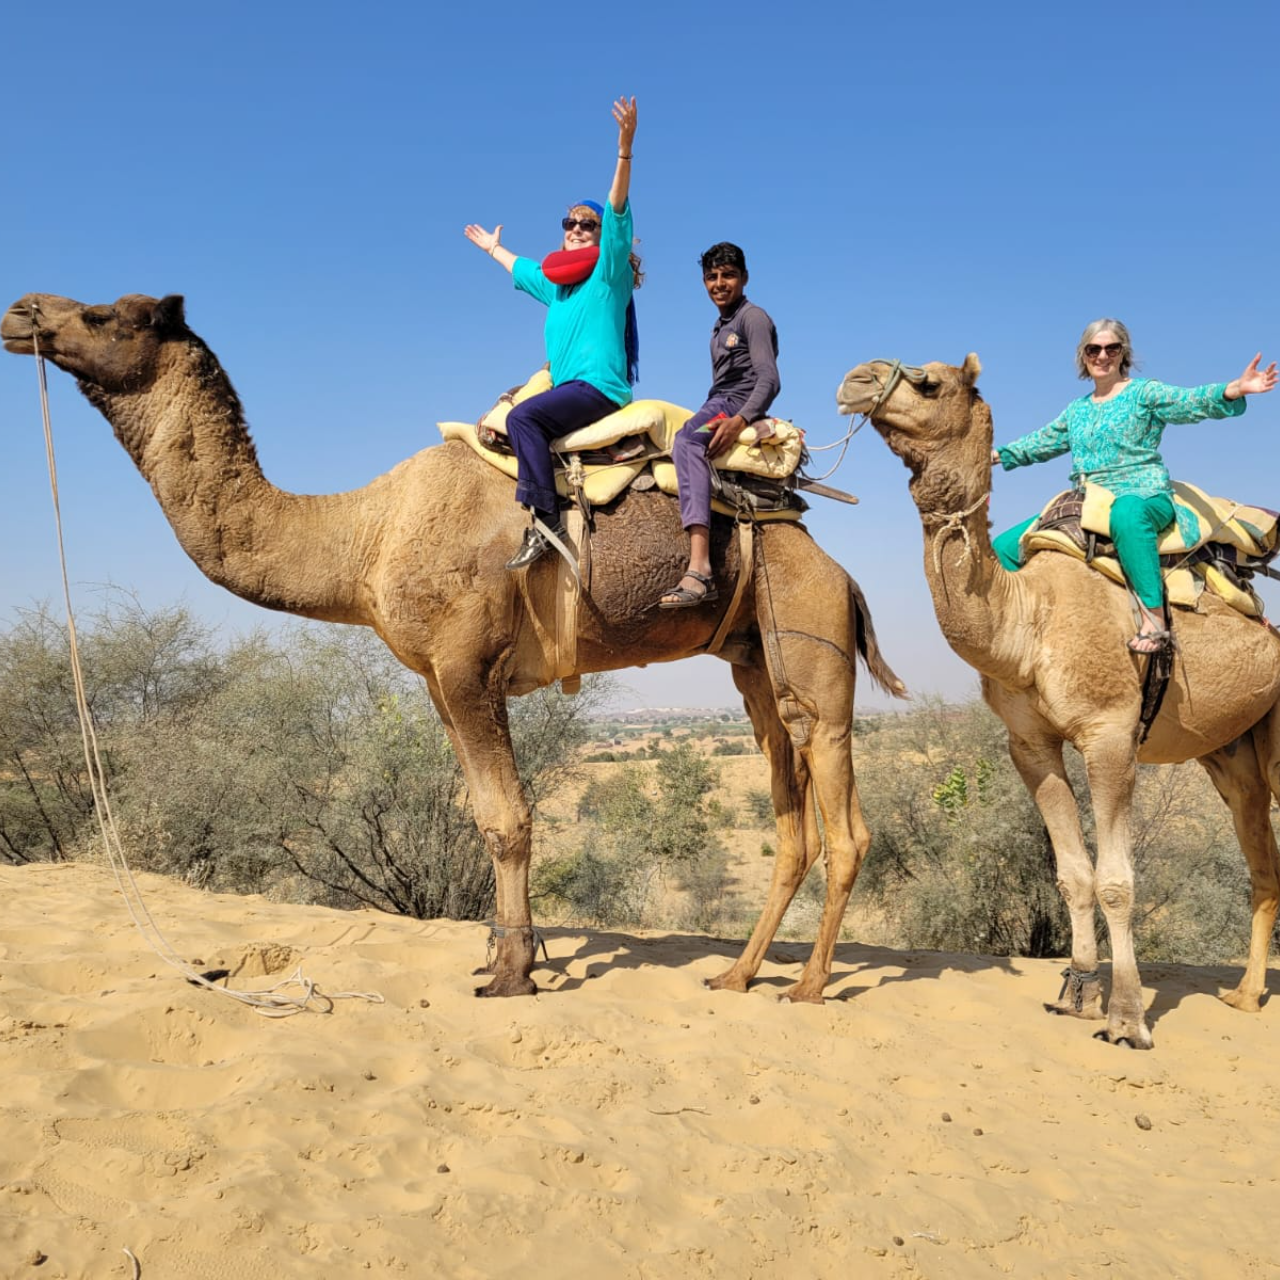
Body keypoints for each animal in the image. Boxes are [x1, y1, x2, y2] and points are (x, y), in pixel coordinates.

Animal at [2, 291, 906, 1001]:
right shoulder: (439, 680)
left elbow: (508, 820)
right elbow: (483, 813)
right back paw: (736, 974)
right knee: (790, 804)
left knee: (841, 811)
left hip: (810, 634)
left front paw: (512, 973)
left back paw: (808, 986)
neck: (364, 536)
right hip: (755, 659)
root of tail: (837, 567)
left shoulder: (469, 666)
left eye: (103, 314)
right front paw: (505, 956)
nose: (21, 312)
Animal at [838, 355, 1280, 1048]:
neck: (1027, 622)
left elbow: (1116, 881)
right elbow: (1072, 874)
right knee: (1260, 854)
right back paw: (1243, 995)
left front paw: (1127, 1018)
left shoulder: (1110, 734)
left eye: (929, 382)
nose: (855, 379)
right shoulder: (1031, 743)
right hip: (1232, 749)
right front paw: (1076, 993)